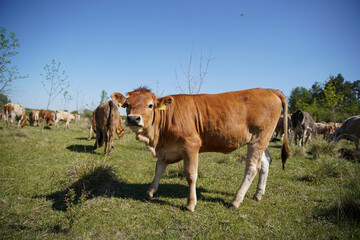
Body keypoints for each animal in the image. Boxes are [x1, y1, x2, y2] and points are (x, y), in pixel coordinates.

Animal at [111, 87, 292, 212]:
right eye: (127, 104)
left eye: (150, 105)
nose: (133, 118)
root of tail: (269, 90)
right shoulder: (166, 150)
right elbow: (159, 169)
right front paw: (150, 192)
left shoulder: (191, 144)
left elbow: (191, 175)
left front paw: (190, 204)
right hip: (262, 141)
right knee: (266, 162)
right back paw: (258, 194)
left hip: (258, 139)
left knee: (252, 168)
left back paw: (235, 201)